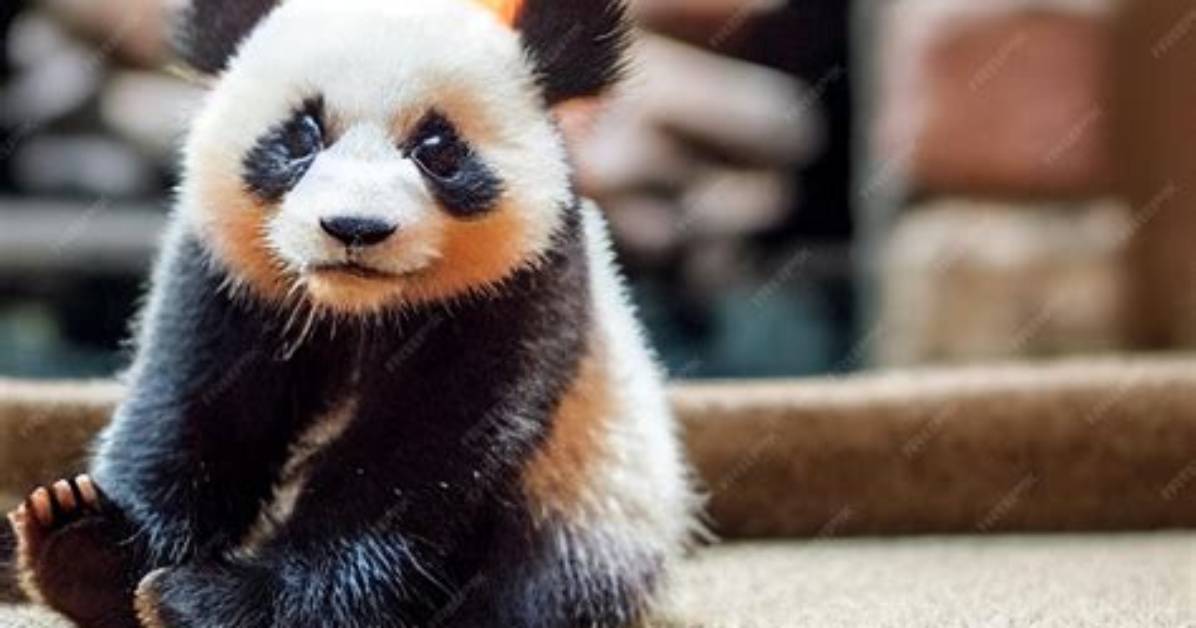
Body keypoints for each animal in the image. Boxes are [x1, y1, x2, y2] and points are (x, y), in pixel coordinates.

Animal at [2, 0, 698, 625]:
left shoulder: (513, 294)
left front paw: (218, 601)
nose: (354, 228)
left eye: (437, 148)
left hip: (590, 505)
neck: (358, 309)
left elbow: (417, 455)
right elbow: (197, 400)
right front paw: (88, 548)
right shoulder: (232, 278)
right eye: (302, 133)